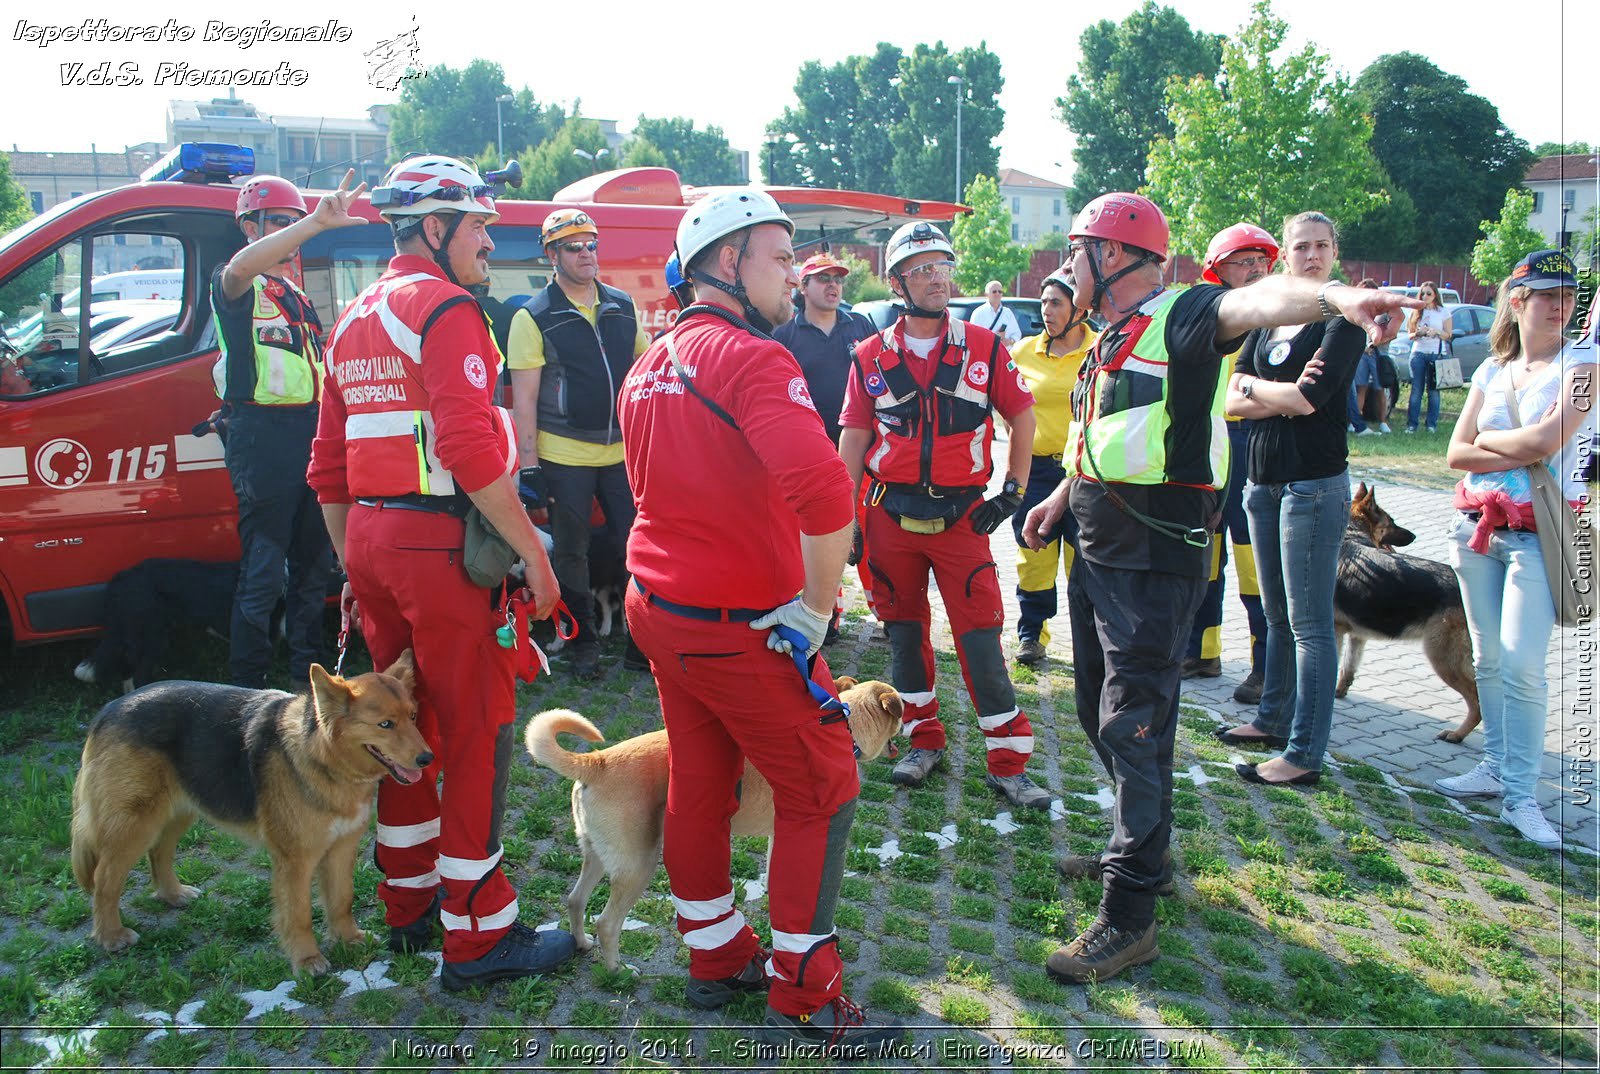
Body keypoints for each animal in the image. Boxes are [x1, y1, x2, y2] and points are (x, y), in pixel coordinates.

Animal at [69, 649, 432, 979]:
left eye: (414, 716)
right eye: (385, 725)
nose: (428, 758)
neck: (322, 756)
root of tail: (110, 708)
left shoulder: (341, 849)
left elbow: (342, 899)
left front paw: (348, 939)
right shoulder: (296, 861)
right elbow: (298, 914)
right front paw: (307, 960)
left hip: (179, 810)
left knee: (159, 853)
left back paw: (173, 894)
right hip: (135, 824)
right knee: (104, 879)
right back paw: (110, 935)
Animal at [524, 681, 902, 973]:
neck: (846, 728)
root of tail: (596, 761)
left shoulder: (777, 836)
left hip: (597, 856)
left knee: (575, 900)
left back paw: (582, 944)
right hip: (638, 867)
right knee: (606, 923)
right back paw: (618, 970)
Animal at [1331, 486, 1478, 742]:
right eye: (1392, 522)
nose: (1414, 536)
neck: (1352, 534)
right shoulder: (1357, 635)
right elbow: (1349, 666)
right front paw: (1340, 691)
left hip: (1444, 658)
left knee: (1479, 701)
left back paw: (1457, 734)